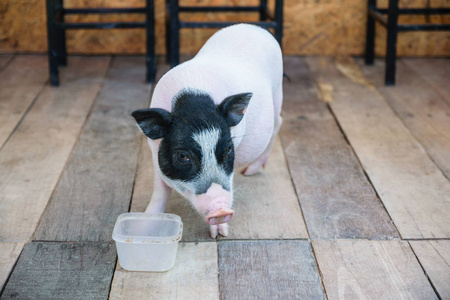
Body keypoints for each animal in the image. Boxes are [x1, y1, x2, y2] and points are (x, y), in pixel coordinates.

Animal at [132, 23, 284, 239]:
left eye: (228, 150)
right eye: (183, 156)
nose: (221, 210)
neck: (194, 105)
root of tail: (255, 27)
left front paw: (220, 234)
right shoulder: (154, 150)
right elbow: (160, 189)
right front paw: (144, 228)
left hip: (278, 90)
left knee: (278, 121)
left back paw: (250, 171)